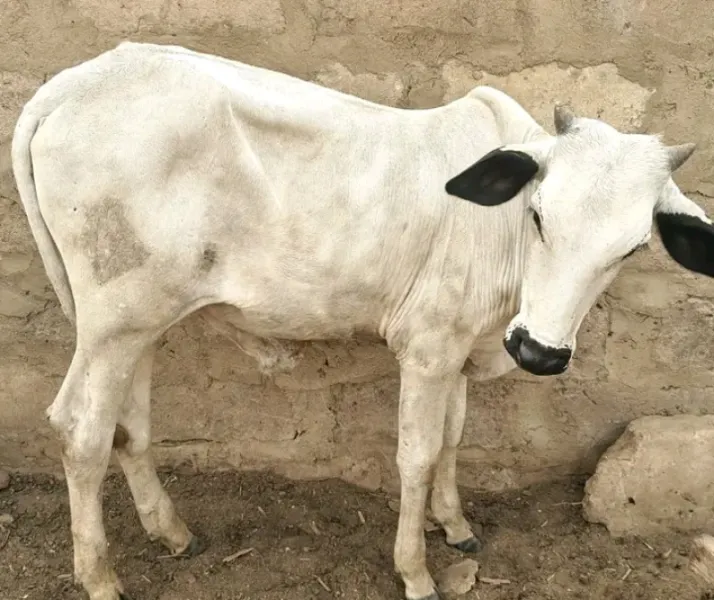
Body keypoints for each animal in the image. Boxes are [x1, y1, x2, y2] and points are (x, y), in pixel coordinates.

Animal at [11, 40, 714, 600]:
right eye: (539, 214)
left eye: (634, 248)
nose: (540, 352)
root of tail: (70, 84)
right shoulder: (428, 347)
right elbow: (417, 453)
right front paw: (416, 572)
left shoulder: (459, 347)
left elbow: (453, 439)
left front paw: (456, 526)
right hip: (112, 323)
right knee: (80, 429)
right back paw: (100, 577)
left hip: (137, 321)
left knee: (128, 425)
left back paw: (172, 532)